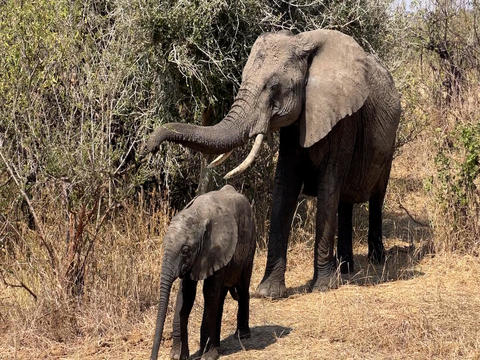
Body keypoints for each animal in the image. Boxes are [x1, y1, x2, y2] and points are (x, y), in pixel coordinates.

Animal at [145, 28, 402, 298]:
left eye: (274, 87)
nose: (149, 147)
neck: (303, 44)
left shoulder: (343, 120)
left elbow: (328, 184)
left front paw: (322, 287)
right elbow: (285, 185)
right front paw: (267, 292)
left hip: (389, 143)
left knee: (375, 195)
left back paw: (376, 260)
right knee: (344, 202)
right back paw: (346, 268)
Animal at [151, 186, 256, 360]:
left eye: (185, 250)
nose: (152, 357)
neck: (199, 214)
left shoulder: (219, 249)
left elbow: (209, 292)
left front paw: (208, 356)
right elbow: (186, 294)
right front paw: (179, 356)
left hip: (250, 245)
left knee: (242, 286)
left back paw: (242, 336)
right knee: (221, 296)